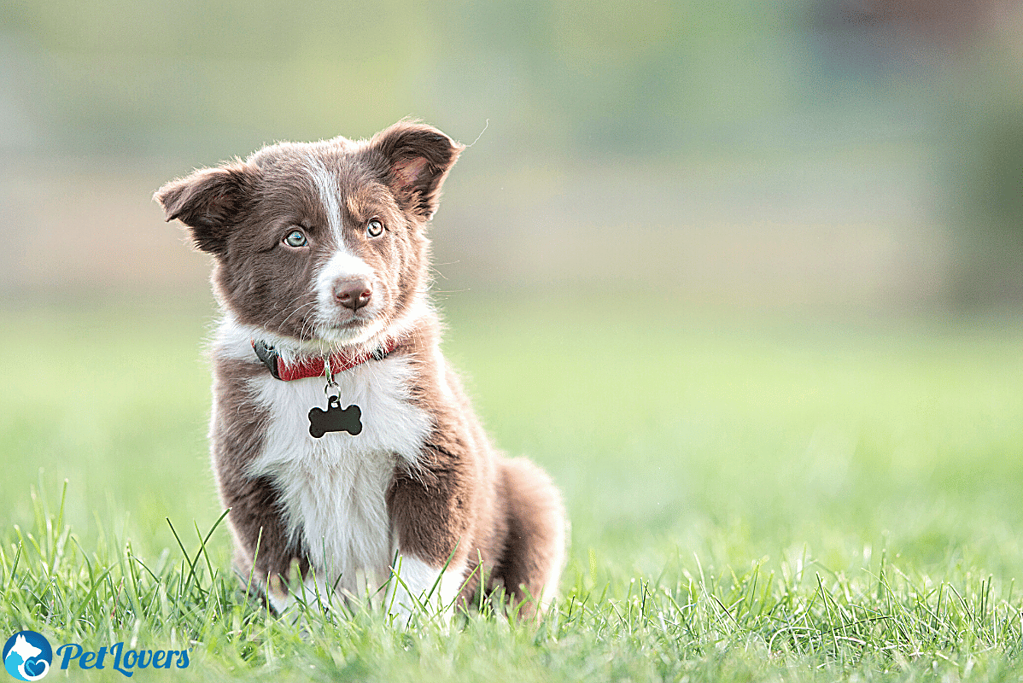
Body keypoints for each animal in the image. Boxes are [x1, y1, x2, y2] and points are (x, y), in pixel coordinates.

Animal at [157, 120, 568, 617]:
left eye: (375, 227)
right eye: (295, 237)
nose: (355, 291)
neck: (331, 365)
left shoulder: (437, 462)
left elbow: (422, 568)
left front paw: (407, 627)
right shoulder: (256, 488)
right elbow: (297, 579)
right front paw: (326, 627)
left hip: (532, 496)